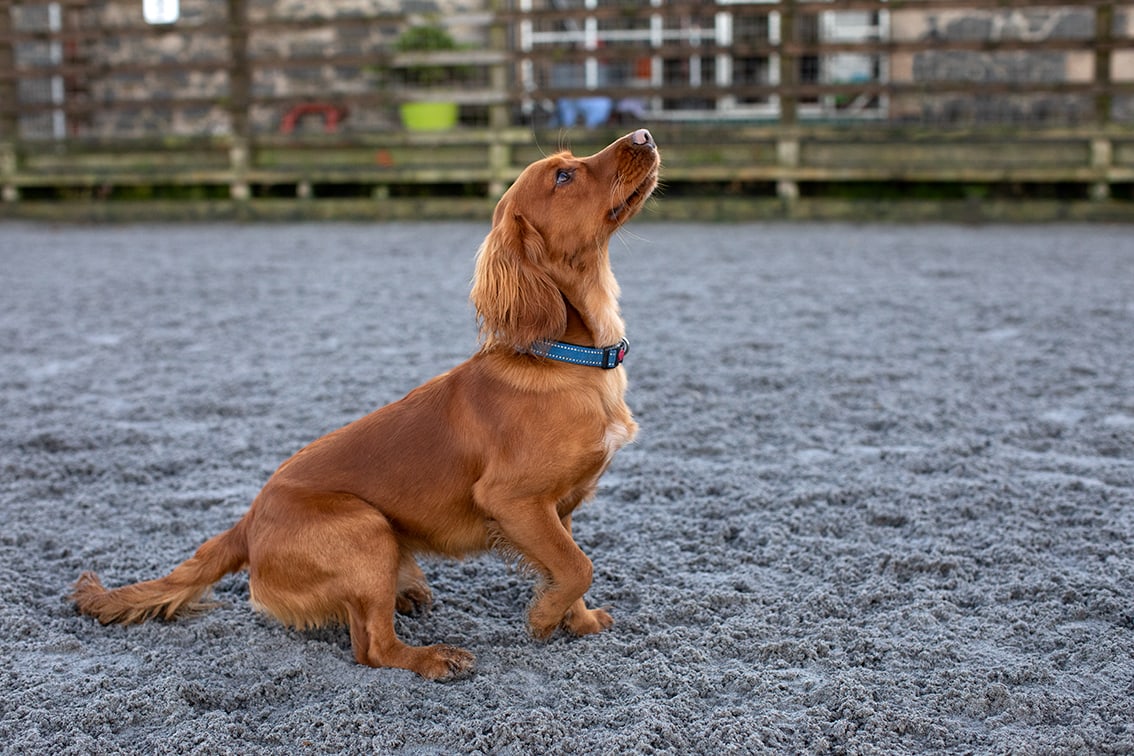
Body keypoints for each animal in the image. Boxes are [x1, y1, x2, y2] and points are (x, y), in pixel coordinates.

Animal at [70, 128, 662, 680]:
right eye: (563, 176)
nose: (645, 135)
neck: (570, 356)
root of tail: (248, 522)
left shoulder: (559, 510)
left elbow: (568, 561)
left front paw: (578, 621)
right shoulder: (512, 500)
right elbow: (577, 565)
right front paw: (543, 618)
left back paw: (410, 593)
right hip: (367, 529)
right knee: (372, 647)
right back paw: (432, 657)